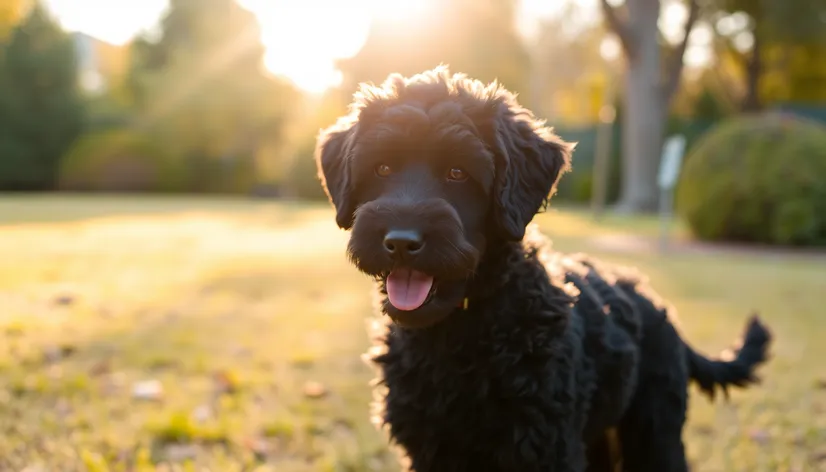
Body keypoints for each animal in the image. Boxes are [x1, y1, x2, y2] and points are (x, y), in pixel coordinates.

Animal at [312, 67, 768, 472]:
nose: (401, 242)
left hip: (653, 430)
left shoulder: (545, 446)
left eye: (458, 172)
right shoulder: (431, 448)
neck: (461, 333)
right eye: (382, 168)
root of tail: (656, 304)